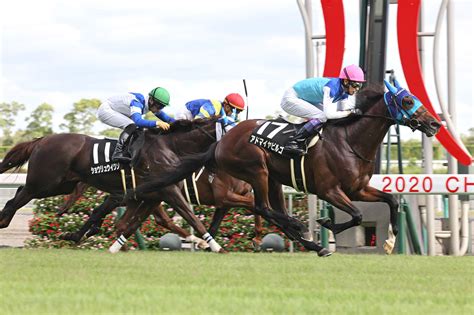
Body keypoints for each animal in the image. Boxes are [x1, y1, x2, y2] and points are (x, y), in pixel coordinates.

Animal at [0, 118, 227, 254]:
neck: (170, 147)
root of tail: (42, 140)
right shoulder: (166, 191)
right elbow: (192, 218)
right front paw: (214, 245)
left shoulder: (150, 195)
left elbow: (129, 224)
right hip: (45, 184)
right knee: (17, 198)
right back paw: (3, 220)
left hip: (61, 185)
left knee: (19, 192)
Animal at [130, 82, 440, 258]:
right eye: (408, 100)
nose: (435, 124)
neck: (350, 141)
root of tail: (221, 142)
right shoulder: (329, 190)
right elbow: (356, 215)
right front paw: (325, 224)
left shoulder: (358, 188)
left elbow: (391, 200)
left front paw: (389, 242)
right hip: (257, 170)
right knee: (264, 207)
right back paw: (301, 231)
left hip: (274, 180)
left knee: (269, 209)